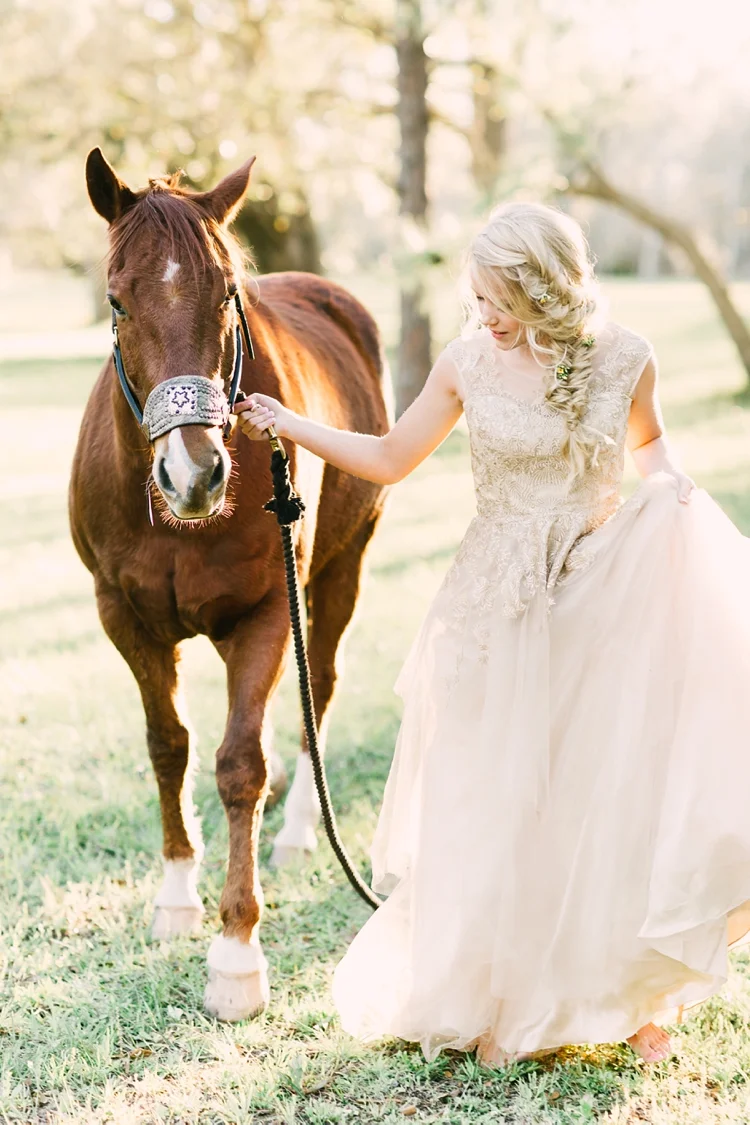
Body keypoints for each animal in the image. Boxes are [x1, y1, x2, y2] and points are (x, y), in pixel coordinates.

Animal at [69, 148, 391, 1020]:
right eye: (115, 299)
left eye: (226, 294)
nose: (195, 473)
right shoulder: (124, 616)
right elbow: (169, 745)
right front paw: (177, 895)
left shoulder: (271, 608)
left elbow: (240, 764)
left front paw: (237, 954)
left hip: (341, 571)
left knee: (319, 689)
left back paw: (298, 830)